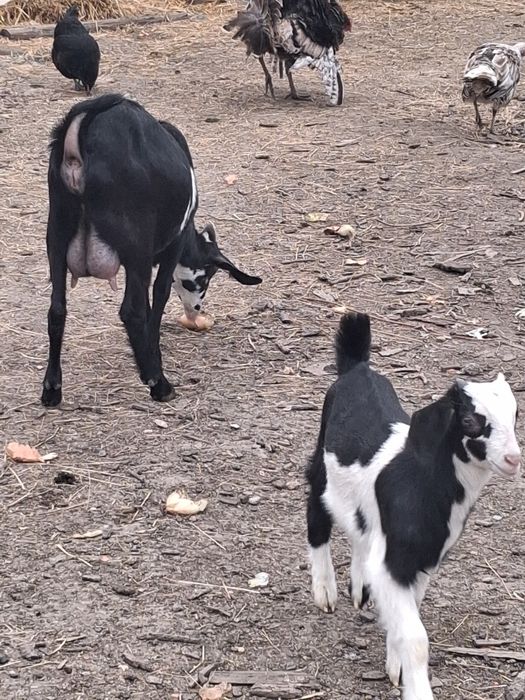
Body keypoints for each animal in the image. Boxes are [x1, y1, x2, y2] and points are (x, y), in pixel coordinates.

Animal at [42, 94, 261, 406]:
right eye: (205, 278)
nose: (195, 311)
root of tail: (82, 131)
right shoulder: (173, 247)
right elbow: (157, 297)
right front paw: (152, 359)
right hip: (138, 248)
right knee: (131, 312)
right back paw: (159, 384)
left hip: (57, 237)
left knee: (57, 309)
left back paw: (52, 388)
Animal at [306, 312, 520, 700]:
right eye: (471, 421)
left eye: (515, 415)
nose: (513, 459)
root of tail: (357, 367)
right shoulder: (397, 560)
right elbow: (416, 637)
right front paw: (415, 685)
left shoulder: (422, 560)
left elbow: (406, 618)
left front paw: (396, 667)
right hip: (321, 462)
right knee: (317, 515)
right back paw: (325, 590)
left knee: (359, 531)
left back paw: (359, 585)